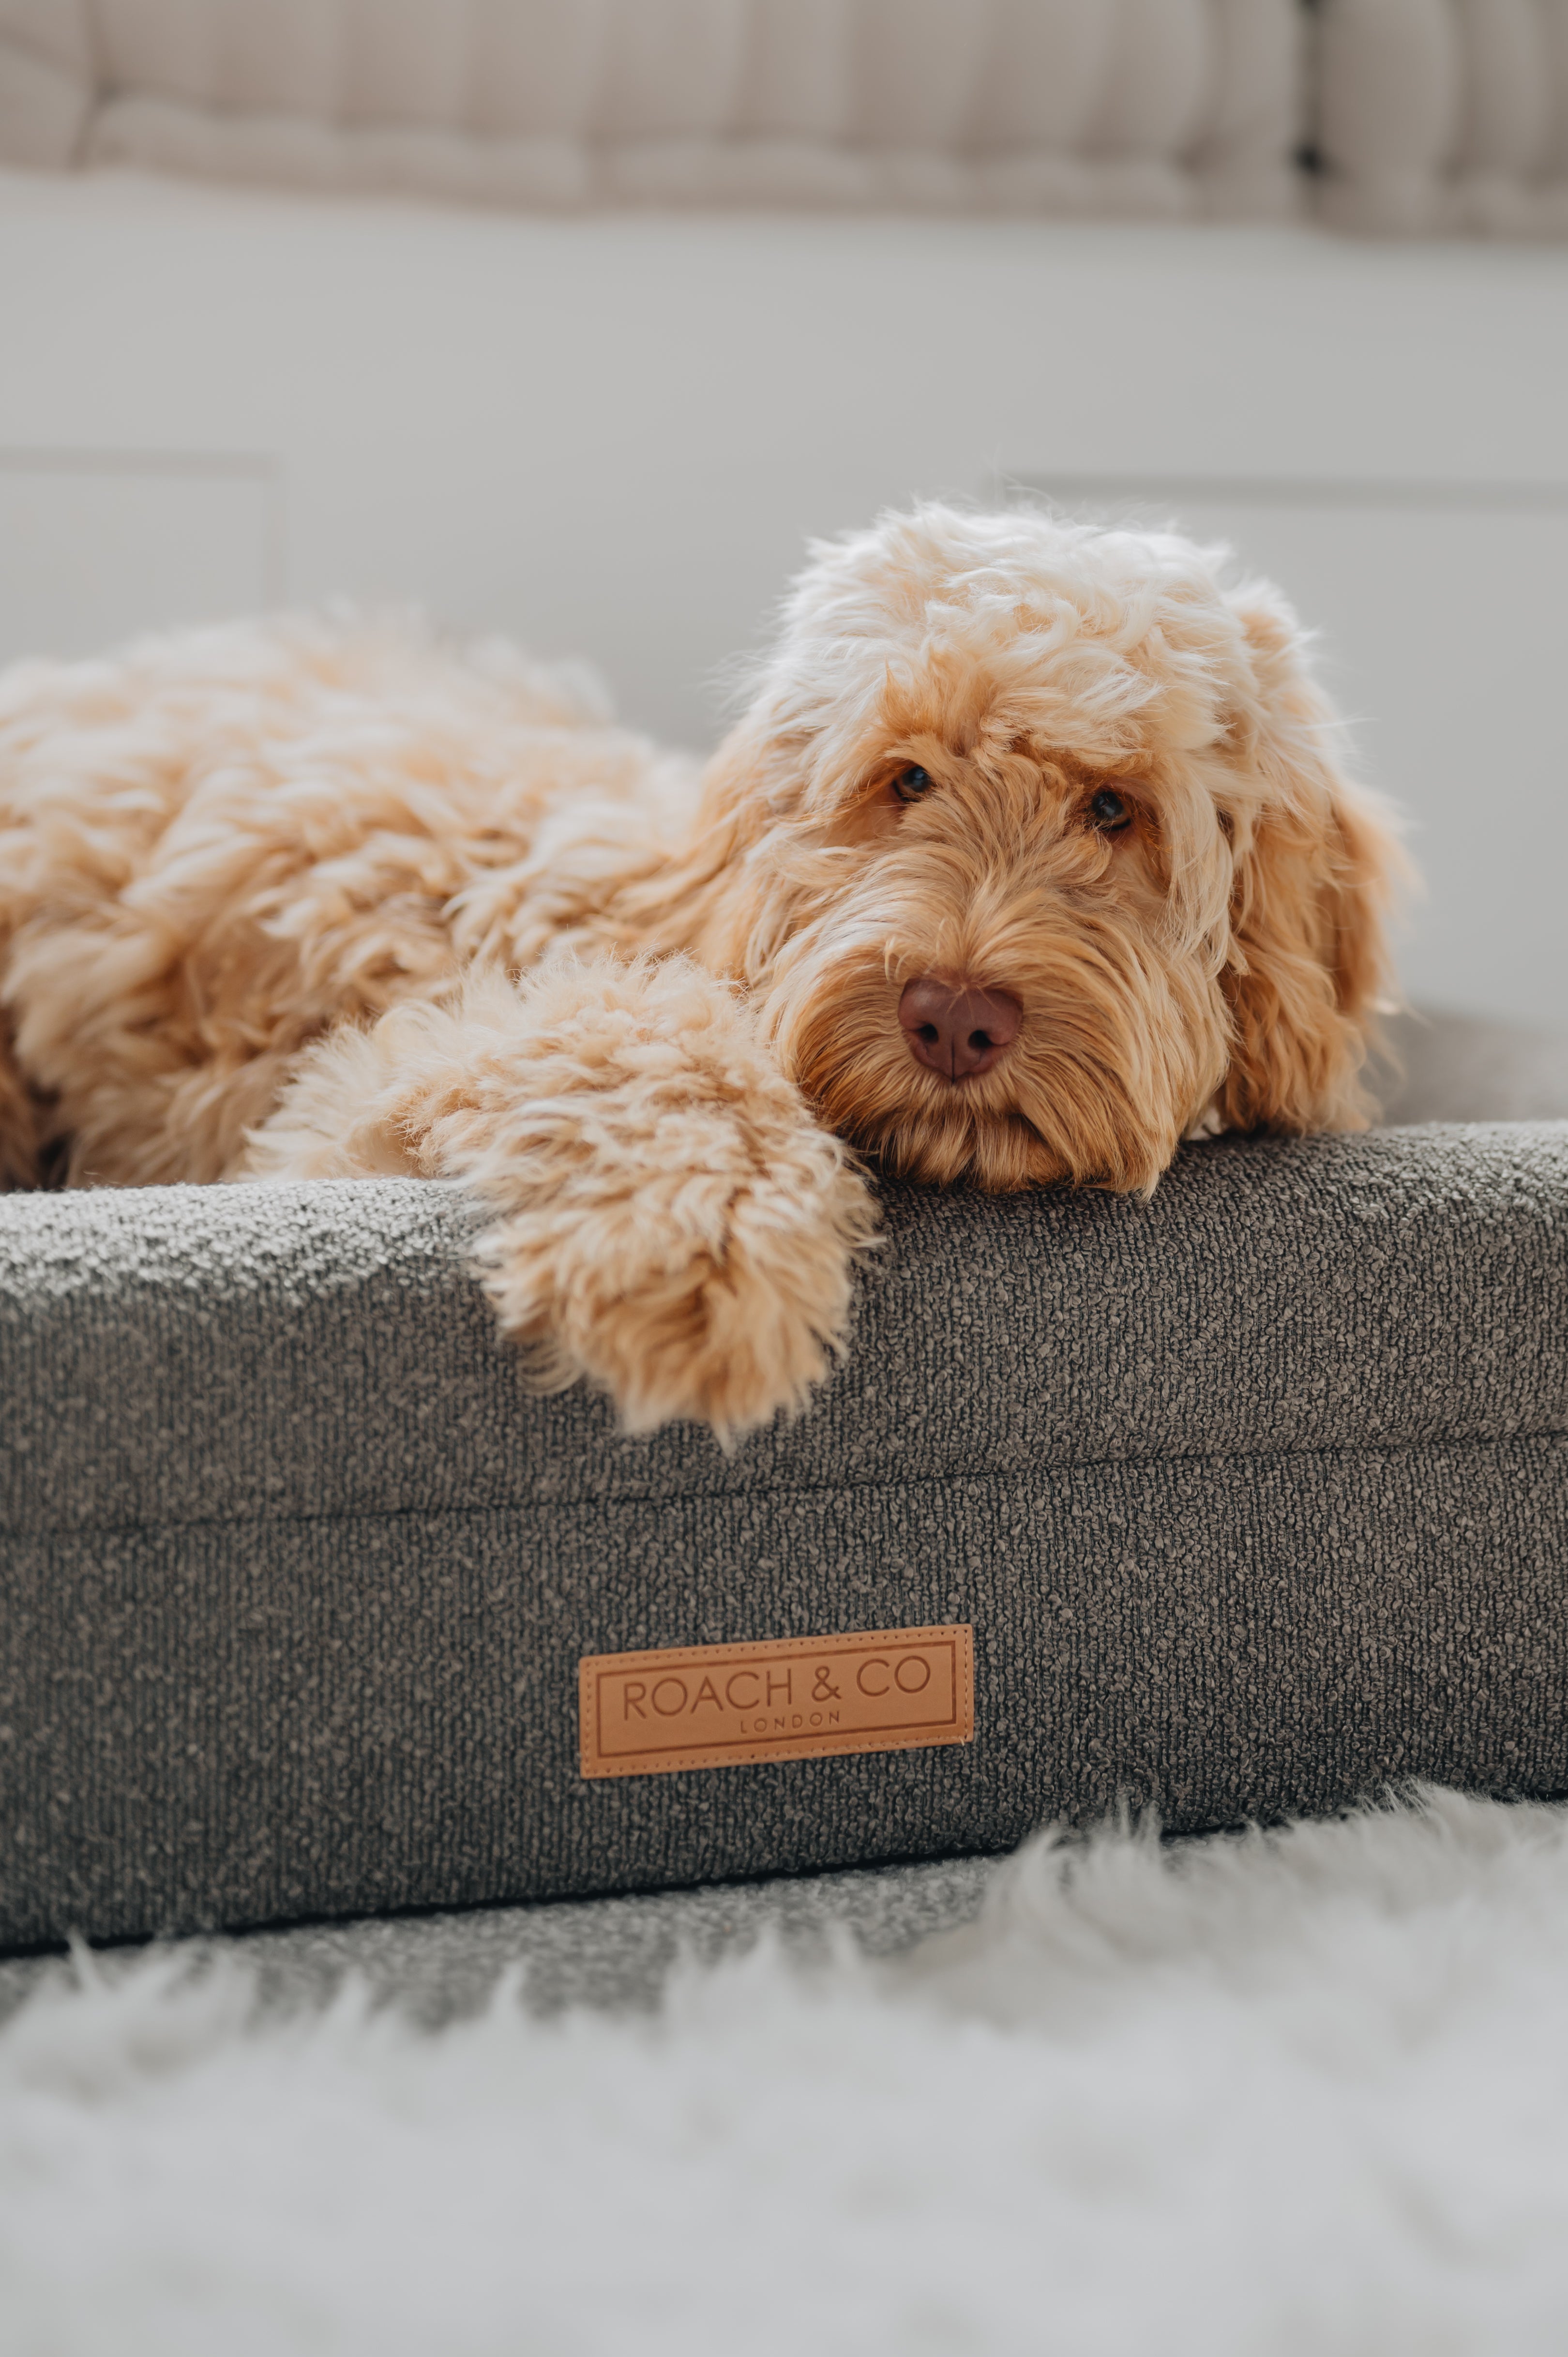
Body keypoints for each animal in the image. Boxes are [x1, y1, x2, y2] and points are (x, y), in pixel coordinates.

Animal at [0, 502, 1396, 1433]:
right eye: (905, 780)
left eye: (1115, 809)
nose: (954, 1016)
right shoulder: (333, 1111)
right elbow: (625, 1031)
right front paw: (702, 1246)